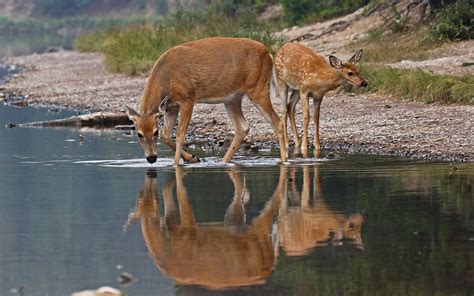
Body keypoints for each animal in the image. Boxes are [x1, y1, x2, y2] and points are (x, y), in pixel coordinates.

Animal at [126, 37, 286, 165]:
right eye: (139, 134)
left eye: (155, 132)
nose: (151, 158)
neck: (167, 77)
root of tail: (268, 53)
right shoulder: (171, 107)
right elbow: (166, 135)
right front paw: (193, 158)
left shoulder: (188, 99)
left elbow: (180, 134)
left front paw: (176, 164)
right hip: (232, 98)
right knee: (242, 127)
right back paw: (223, 161)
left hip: (257, 88)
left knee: (277, 122)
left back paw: (284, 160)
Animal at [126, 168, 286, 290]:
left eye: (144, 198)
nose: (150, 192)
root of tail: (269, 267)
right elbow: (167, 191)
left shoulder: (188, 228)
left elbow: (181, 193)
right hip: (237, 223)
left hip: (258, 230)